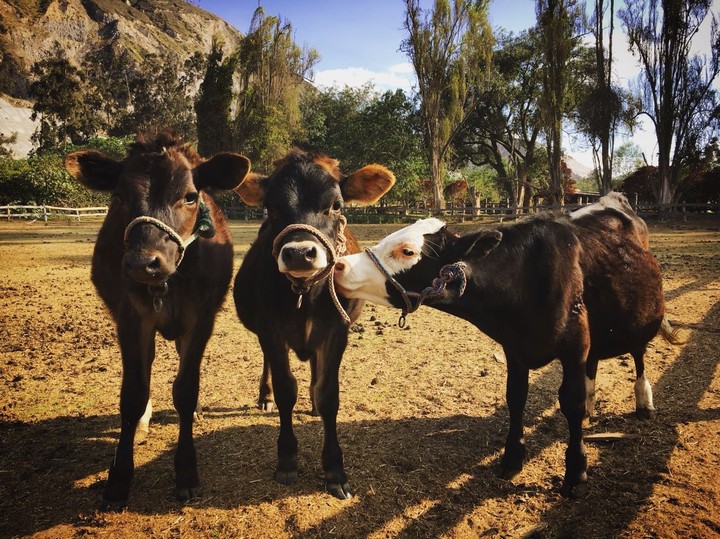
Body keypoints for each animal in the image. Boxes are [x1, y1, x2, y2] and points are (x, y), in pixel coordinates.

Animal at [64, 132, 250, 509]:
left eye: (190, 196)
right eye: (119, 196)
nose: (143, 263)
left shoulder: (201, 318)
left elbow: (186, 389)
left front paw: (187, 472)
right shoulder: (130, 318)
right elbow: (133, 394)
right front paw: (118, 480)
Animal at [233, 148, 395, 499]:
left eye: (336, 205)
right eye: (271, 207)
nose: (299, 253)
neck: (304, 296)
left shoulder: (337, 331)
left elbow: (329, 393)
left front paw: (335, 469)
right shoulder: (270, 331)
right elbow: (285, 390)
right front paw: (287, 458)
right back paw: (264, 396)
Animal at [333, 192, 681, 497]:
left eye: (407, 251)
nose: (340, 266)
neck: (524, 280)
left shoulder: (574, 345)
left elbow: (571, 402)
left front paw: (576, 473)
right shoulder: (514, 349)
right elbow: (516, 398)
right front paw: (512, 457)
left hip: (637, 318)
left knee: (638, 354)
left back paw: (644, 401)